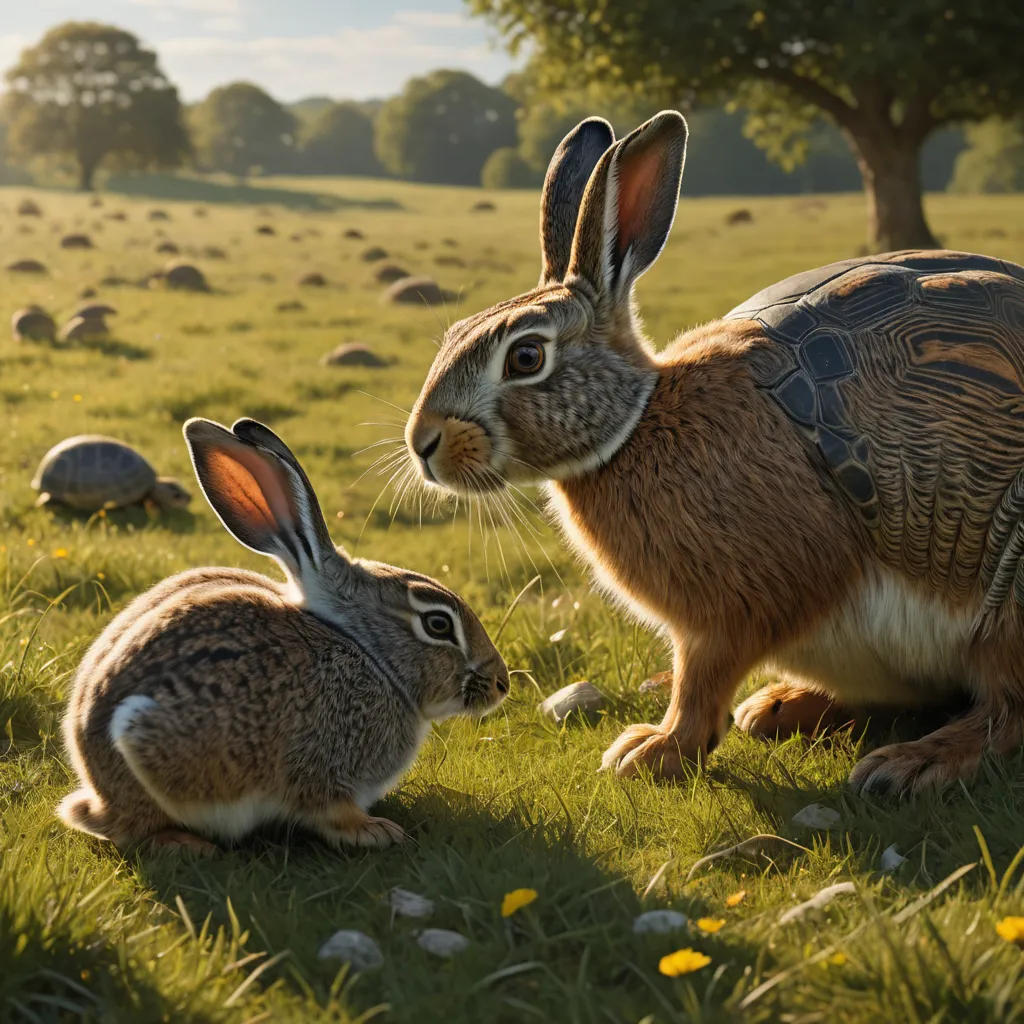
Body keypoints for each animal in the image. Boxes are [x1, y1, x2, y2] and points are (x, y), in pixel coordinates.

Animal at [58, 417, 509, 851]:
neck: (371, 655)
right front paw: (377, 831)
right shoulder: (323, 770)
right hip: (149, 743)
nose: (501, 684)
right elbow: (331, 811)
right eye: (438, 624)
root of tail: (98, 798)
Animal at [404, 109, 1024, 796]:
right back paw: (779, 706)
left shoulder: (732, 612)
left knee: (1006, 709)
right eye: (456, 334)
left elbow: (700, 682)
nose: (422, 443)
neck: (637, 420)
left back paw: (908, 765)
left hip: (1011, 596)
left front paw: (650, 751)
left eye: (526, 356)